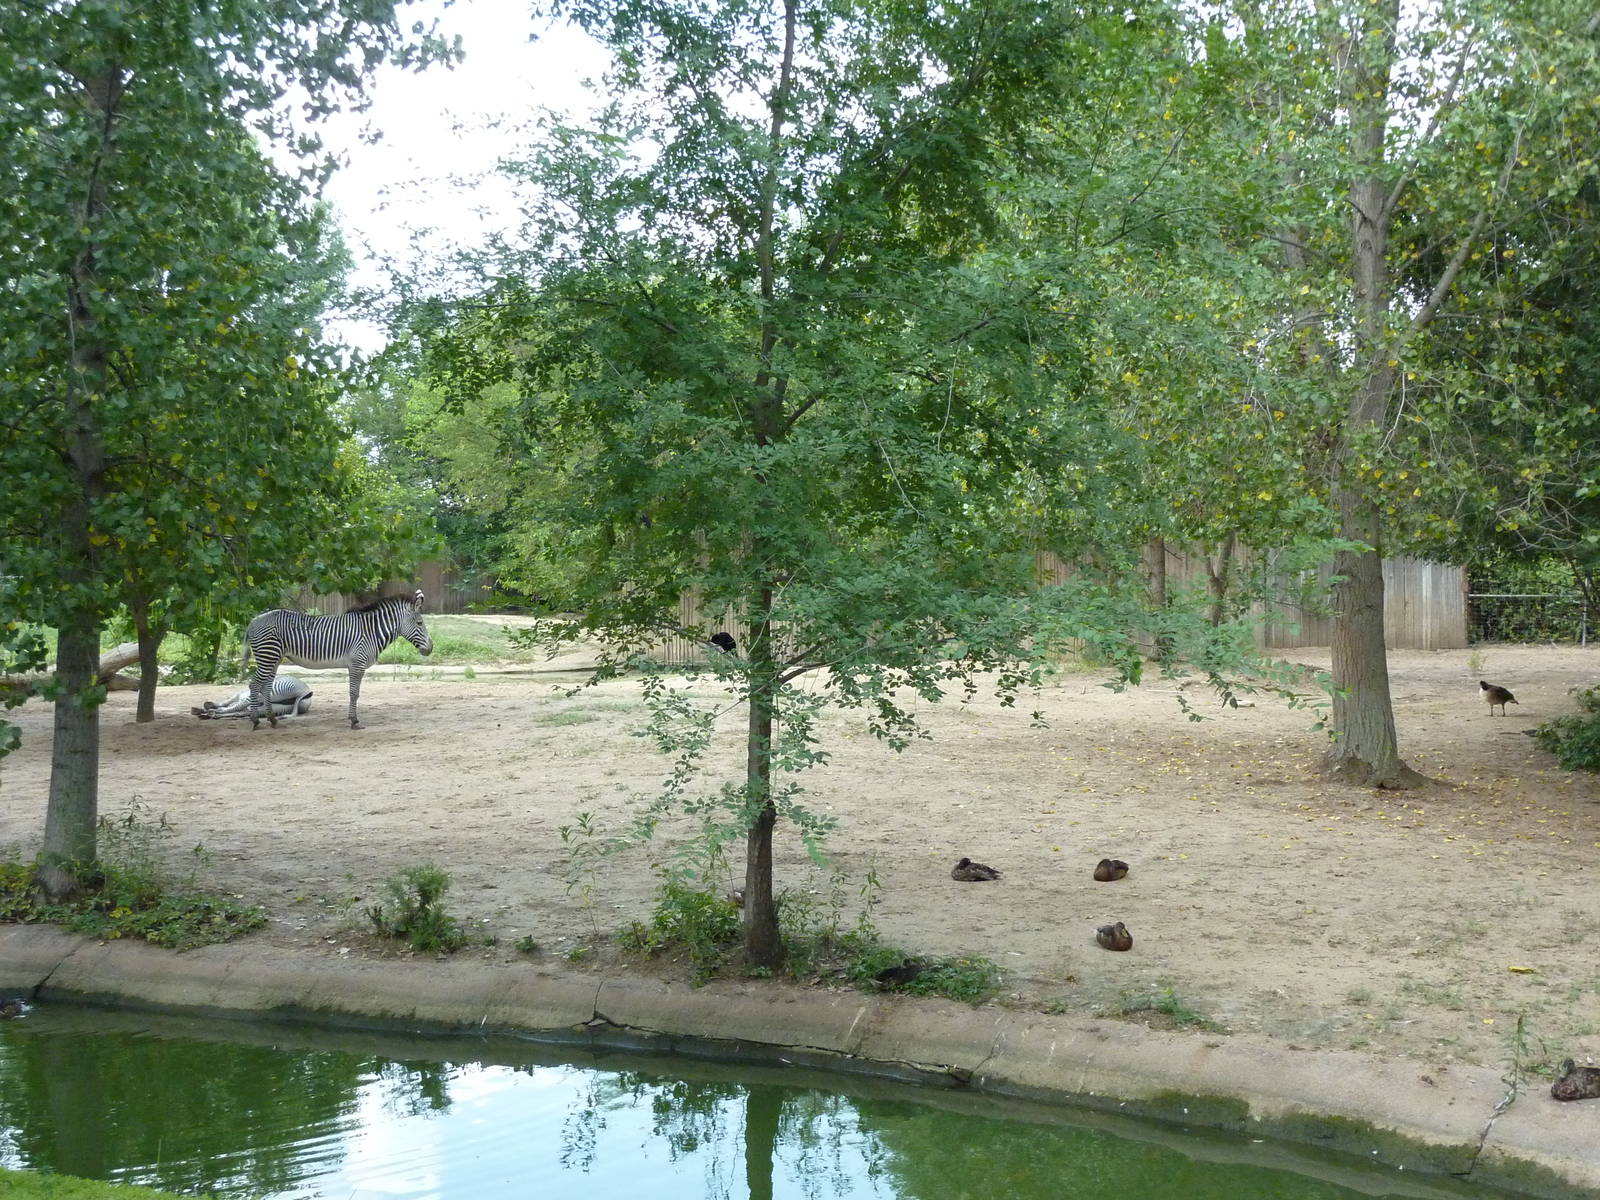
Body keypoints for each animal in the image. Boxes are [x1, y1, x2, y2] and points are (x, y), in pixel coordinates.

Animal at [244, 589, 433, 729]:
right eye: (420, 623)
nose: (431, 649)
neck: (371, 632)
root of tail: (253, 621)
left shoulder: (353, 665)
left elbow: (353, 692)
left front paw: (352, 719)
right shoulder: (358, 664)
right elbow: (354, 693)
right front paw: (354, 721)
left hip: (274, 658)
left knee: (266, 686)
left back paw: (272, 719)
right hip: (268, 656)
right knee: (254, 685)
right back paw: (255, 721)